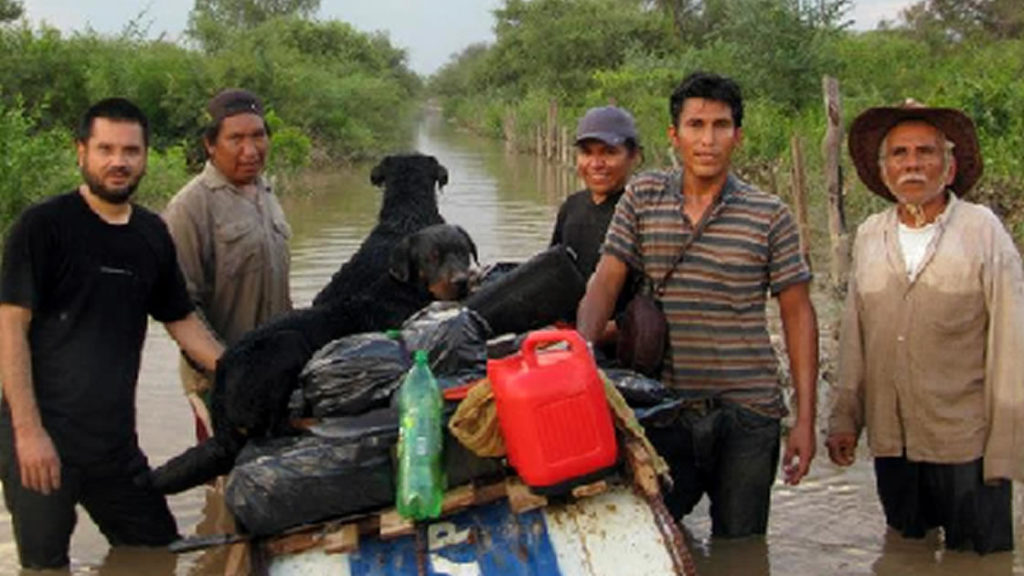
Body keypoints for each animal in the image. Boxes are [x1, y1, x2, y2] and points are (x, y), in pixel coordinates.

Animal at [149, 222, 477, 491]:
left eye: (463, 252)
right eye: (432, 256)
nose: (463, 280)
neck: (407, 289)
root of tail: (219, 391)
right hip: (287, 343)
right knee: (272, 429)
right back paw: (309, 422)